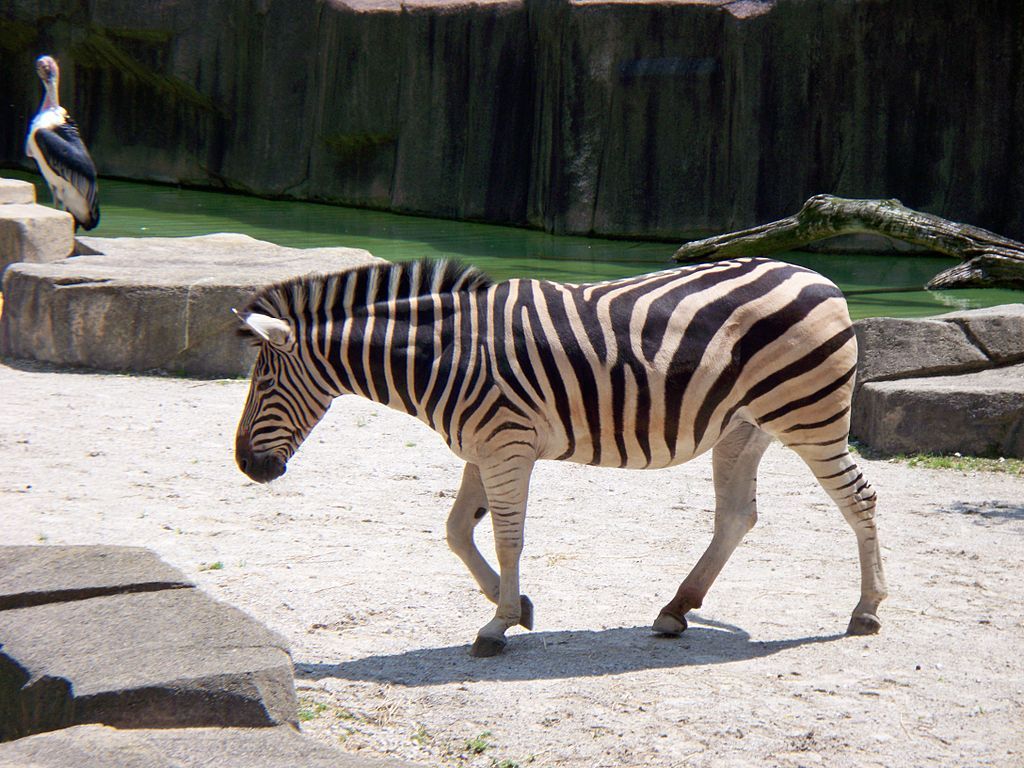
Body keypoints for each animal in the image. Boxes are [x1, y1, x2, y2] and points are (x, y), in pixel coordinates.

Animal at [234, 257, 887, 657]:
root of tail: (819, 276)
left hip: (808, 418)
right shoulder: (483, 446)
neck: (441, 353)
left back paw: (867, 612)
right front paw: (517, 606)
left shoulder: (505, 443)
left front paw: (497, 625)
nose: (246, 466)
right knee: (736, 516)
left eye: (262, 383)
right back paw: (676, 609)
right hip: (744, 428)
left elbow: (506, 537)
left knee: (860, 499)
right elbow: (456, 530)